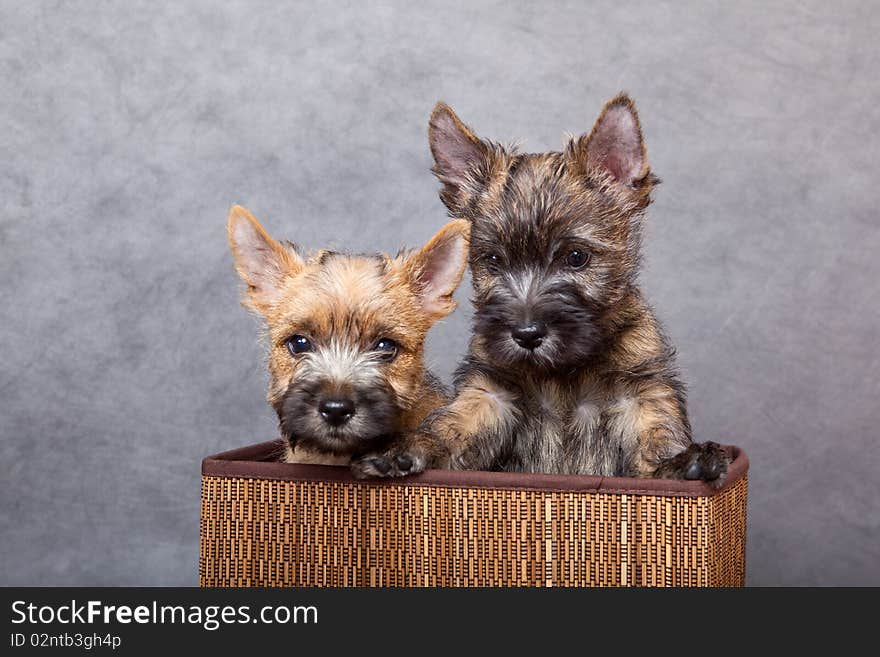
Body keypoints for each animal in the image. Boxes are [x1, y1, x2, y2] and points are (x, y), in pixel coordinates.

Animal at [350, 93, 728, 482]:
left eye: (576, 257)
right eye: (493, 260)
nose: (526, 334)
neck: (563, 372)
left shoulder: (642, 395)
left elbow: (658, 437)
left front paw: (682, 463)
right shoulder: (490, 394)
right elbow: (450, 428)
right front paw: (403, 448)